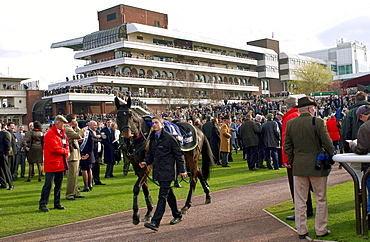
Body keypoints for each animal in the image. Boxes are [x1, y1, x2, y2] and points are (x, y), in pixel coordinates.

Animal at [115, 96, 214, 225]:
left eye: (130, 115)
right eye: (118, 116)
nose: (126, 138)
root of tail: (199, 130)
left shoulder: (147, 166)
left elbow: (137, 187)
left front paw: (136, 215)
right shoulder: (137, 166)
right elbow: (144, 187)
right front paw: (148, 212)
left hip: (191, 158)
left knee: (193, 179)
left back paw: (186, 205)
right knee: (199, 171)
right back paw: (207, 195)